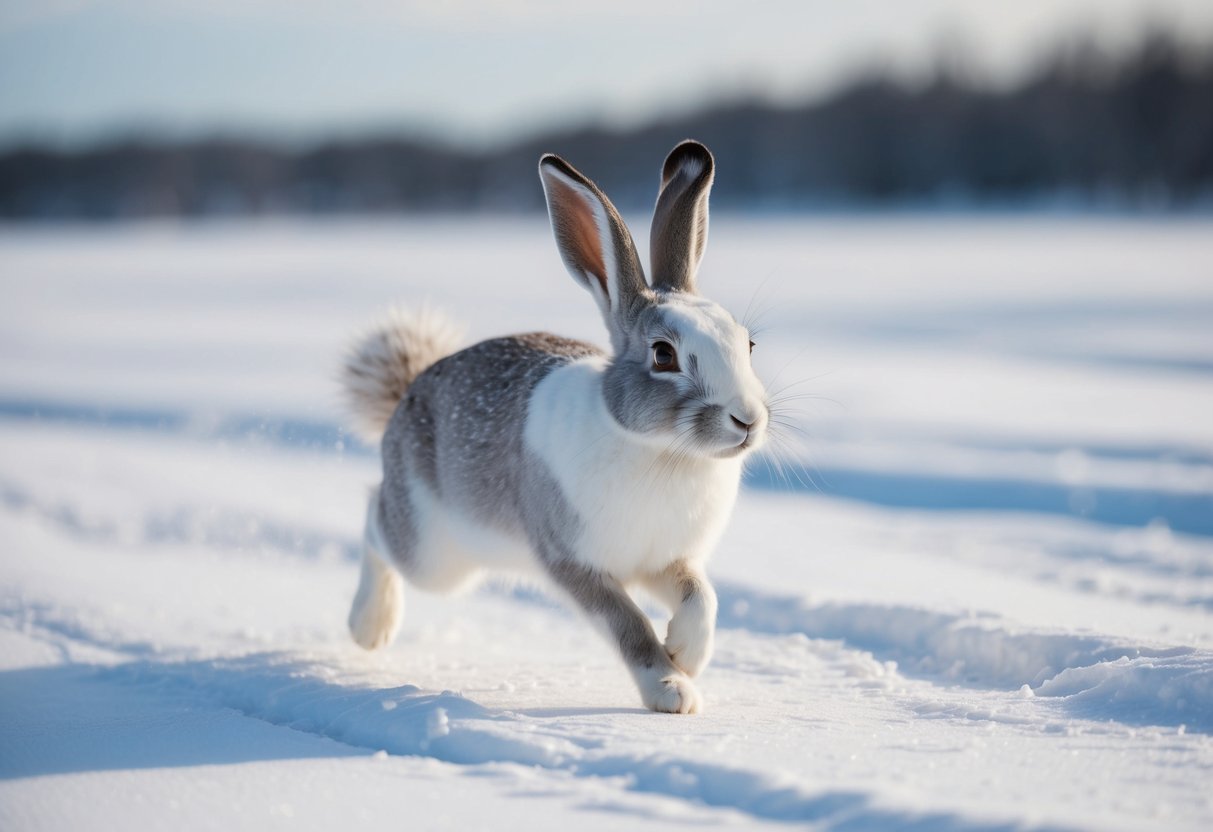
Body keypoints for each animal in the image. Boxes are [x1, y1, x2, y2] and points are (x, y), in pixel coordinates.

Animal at [342, 140, 768, 714]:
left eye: (748, 344)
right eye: (663, 355)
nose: (748, 420)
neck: (659, 448)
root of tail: (407, 394)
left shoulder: (664, 560)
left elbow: (702, 596)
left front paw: (687, 654)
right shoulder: (575, 564)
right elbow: (628, 626)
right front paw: (672, 690)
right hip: (433, 555)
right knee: (374, 519)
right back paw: (369, 626)